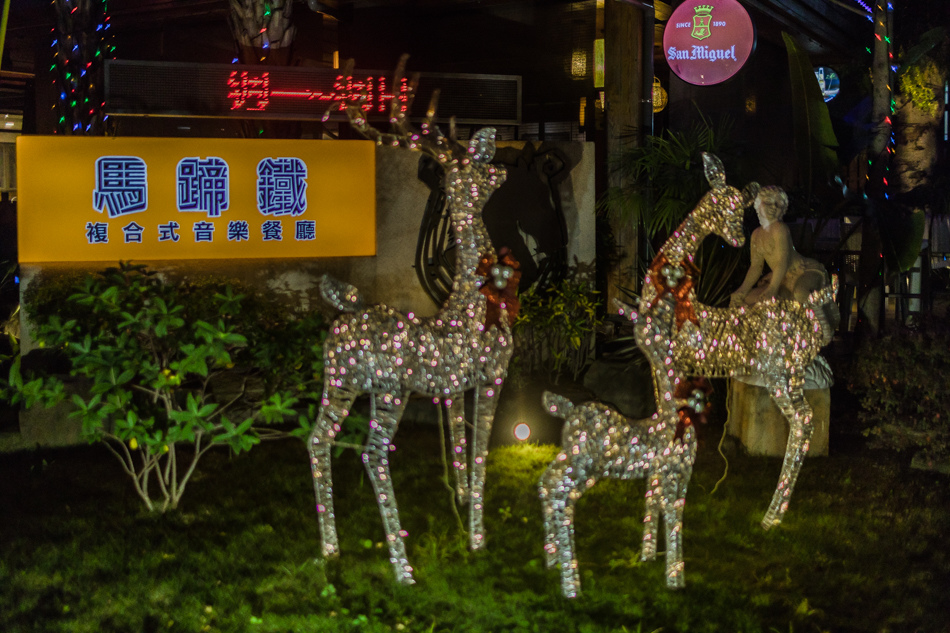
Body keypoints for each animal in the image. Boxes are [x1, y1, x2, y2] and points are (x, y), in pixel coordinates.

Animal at [310, 56, 520, 584]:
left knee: (318, 439)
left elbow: (459, 446)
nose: (502, 166)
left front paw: (460, 506)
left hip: (339, 381)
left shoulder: (451, 388)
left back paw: (331, 549)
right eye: (476, 163)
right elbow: (482, 451)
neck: (472, 300)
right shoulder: (493, 375)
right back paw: (403, 568)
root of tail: (344, 316)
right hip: (389, 389)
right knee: (373, 452)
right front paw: (478, 538)